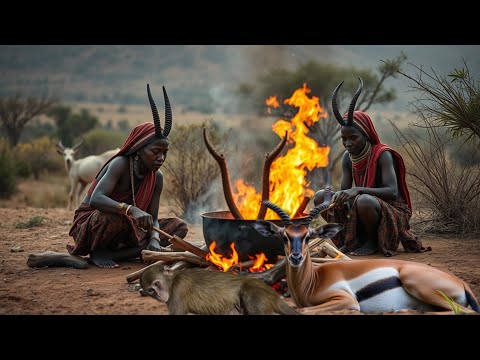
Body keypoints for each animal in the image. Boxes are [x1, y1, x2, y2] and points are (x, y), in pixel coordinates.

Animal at [251, 184, 480, 314]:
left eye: (308, 237)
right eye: (284, 236)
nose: (296, 257)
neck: (312, 281)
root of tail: (461, 283)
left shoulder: (346, 300)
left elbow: (305, 309)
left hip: (419, 286)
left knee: (464, 312)